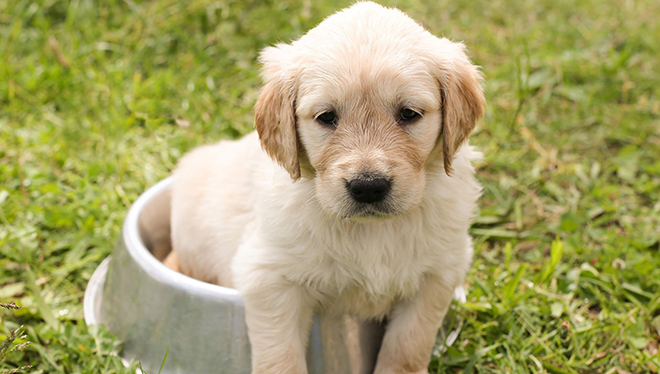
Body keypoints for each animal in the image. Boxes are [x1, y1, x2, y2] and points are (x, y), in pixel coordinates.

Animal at [169, 1, 484, 372]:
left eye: (409, 113)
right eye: (326, 117)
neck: (371, 231)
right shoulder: (269, 277)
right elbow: (280, 357)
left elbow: (408, 347)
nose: (368, 187)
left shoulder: (437, 274)